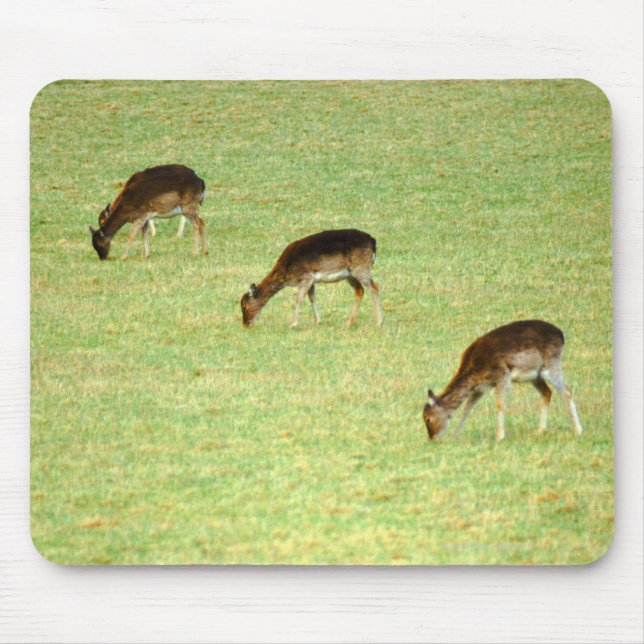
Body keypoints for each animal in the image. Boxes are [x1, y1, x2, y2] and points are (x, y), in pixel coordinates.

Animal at [240, 229, 384, 328]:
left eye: (245, 306)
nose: (246, 324)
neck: (286, 272)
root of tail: (373, 241)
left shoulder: (305, 277)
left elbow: (299, 298)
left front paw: (293, 324)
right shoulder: (312, 280)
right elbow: (312, 297)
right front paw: (317, 321)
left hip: (361, 268)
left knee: (374, 287)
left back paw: (379, 322)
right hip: (349, 274)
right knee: (360, 290)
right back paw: (349, 322)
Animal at [422, 320, 584, 441]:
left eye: (427, 418)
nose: (432, 438)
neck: (475, 370)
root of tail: (561, 334)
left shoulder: (502, 375)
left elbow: (500, 404)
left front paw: (500, 436)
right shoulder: (482, 387)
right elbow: (467, 408)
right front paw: (454, 436)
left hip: (550, 364)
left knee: (567, 391)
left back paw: (578, 430)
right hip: (535, 375)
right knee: (547, 392)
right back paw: (540, 431)